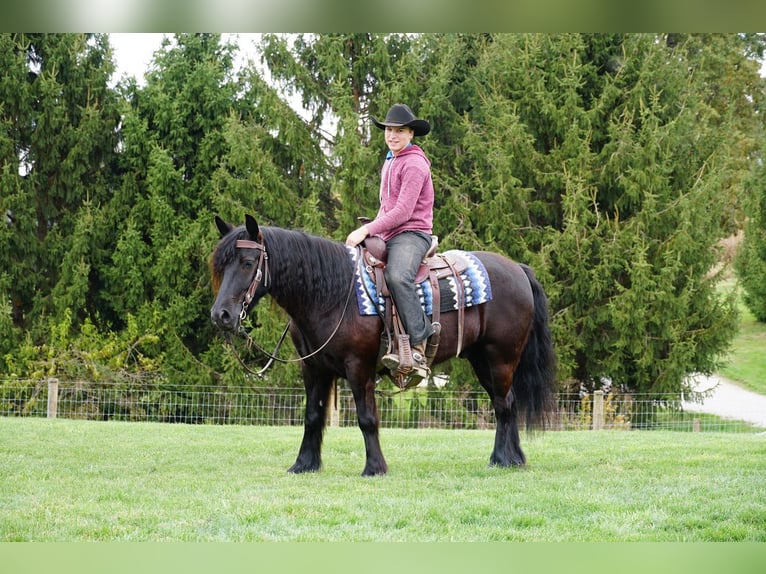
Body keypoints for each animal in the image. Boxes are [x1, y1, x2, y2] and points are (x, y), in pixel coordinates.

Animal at [210, 214, 556, 476]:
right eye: (221, 264)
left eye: (248, 261)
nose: (221, 315)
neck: (332, 295)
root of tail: (518, 269)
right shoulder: (313, 368)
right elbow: (312, 415)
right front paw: (304, 464)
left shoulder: (358, 366)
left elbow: (367, 418)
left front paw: (374, 467)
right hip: (481, 359)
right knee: (506, 402)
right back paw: (514, 458)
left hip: (501, 357)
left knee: (503, 404)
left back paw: (501, 459)